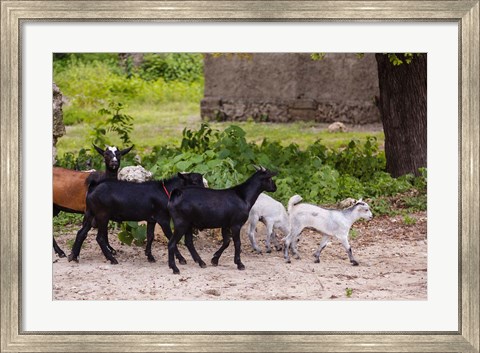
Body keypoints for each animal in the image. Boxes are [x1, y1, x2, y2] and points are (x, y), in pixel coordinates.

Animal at [66, 172, 205, 262]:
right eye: (195, 181)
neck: (165, 192)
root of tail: (93, 187)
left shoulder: (151, 219)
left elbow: (150, 236)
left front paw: (150, 256)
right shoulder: (163, 218)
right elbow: (170, 237)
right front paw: (181, 259)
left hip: (90, 214)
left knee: (81, 233)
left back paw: (74, 256)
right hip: (102, 215)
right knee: (99, 238)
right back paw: (112, 259)